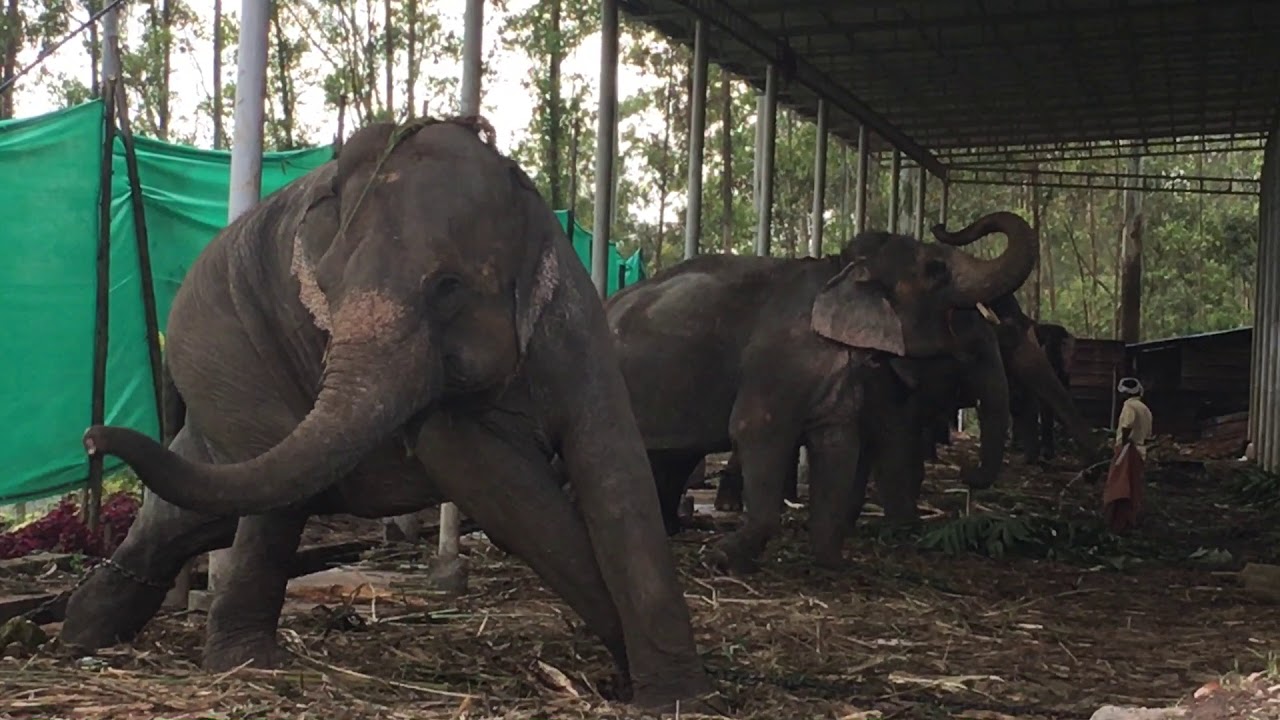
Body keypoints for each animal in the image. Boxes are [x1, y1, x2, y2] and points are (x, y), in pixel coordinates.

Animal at [60, 119, 716, 712]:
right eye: (324, 289)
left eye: (447, 287)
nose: (91, 439)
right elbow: (509, 489)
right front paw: (639, 672)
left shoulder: (575, 320)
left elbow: (614, 465)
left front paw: (676, 694)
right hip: (228, 361)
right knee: (266, 496)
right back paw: (241, 663)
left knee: (202, 500)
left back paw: (84, 632)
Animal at [604, 208, 1034, 571]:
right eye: (936, 269)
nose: (967, 472)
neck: (839, 269)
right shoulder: (781, 358)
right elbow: (757, 430)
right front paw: (723, 557)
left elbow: (838, 443)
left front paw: (833, 562)